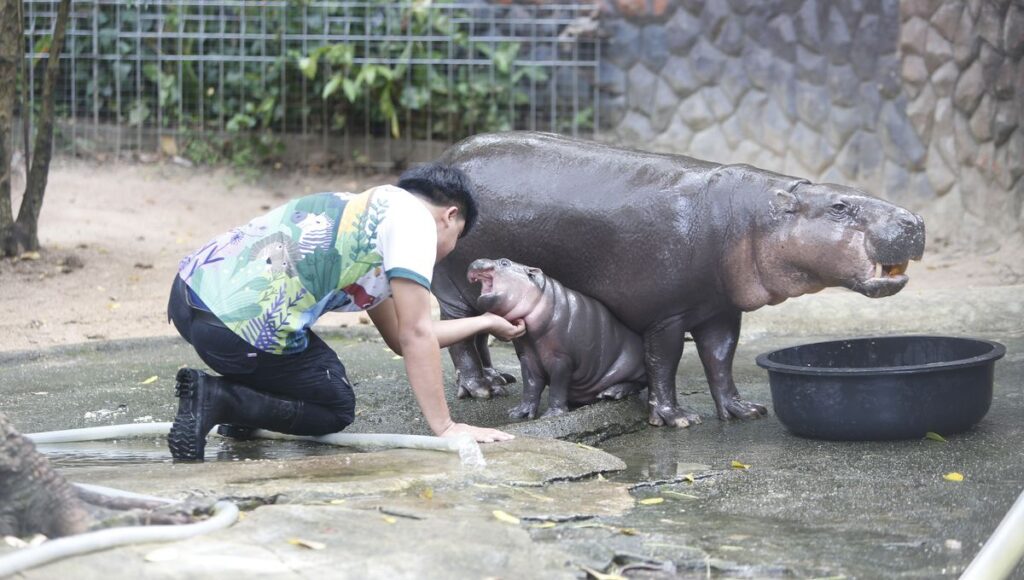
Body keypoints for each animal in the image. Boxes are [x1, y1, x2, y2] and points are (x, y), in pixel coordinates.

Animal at [466, 258, 643, 418]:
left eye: (504, 262)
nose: (475, 261)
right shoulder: (527, 357)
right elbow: (530, 385)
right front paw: (518, 413)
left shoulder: (561, 359)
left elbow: (557, 387)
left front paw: (552, 415)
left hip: (630, 364)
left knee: (639, 383)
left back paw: (611, 393)